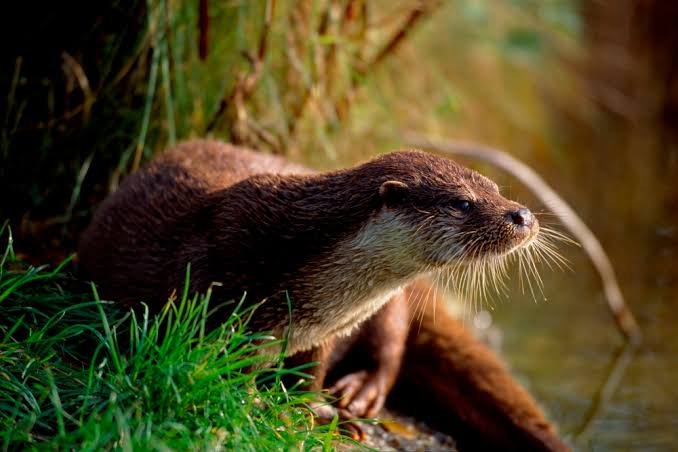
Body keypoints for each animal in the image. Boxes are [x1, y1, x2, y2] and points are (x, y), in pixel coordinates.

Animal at [78, 140, 568, 451]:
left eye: (496, 189)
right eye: (463, 203)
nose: (522, 214)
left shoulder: (326, 330)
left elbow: (311, 367)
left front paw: (309, 406)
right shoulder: (212, 280)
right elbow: (210, 361)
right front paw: (267, 407)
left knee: (391, 341)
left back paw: (362, 390)